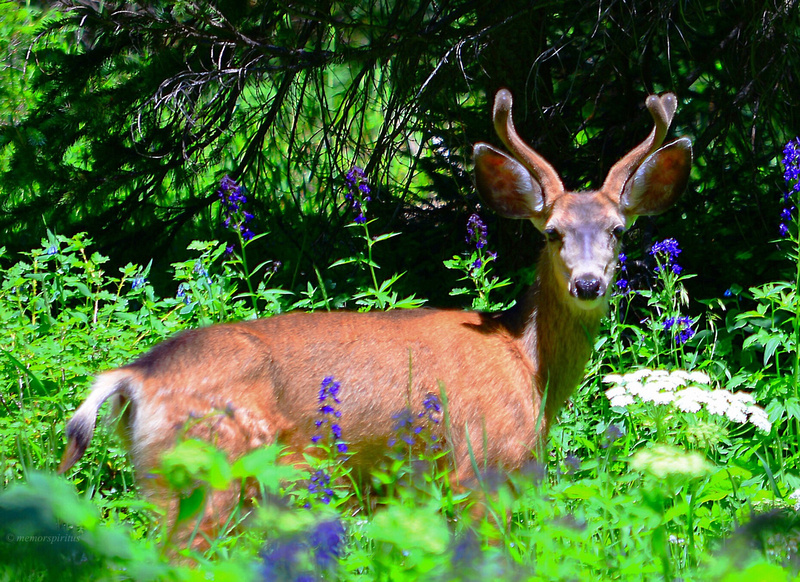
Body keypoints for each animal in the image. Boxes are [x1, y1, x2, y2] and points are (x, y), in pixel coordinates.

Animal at [59, 89, 692, 540]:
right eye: (553, 232)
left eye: (617, 230)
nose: (588, 283)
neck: (526, 362)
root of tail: (133, 377)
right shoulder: (484, 465)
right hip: (207, 471)